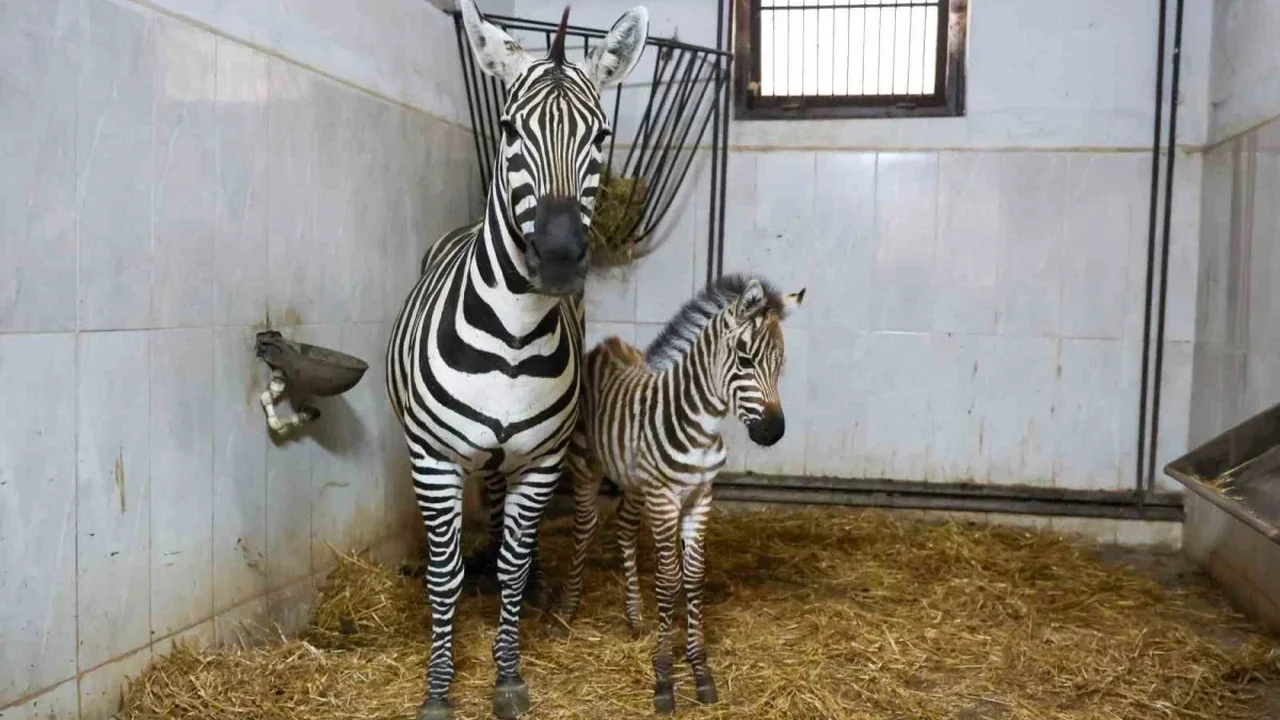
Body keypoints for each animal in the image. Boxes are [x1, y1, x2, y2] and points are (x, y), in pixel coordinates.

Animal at [384, 2, 649, 718]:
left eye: (602, 133)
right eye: (508, 129)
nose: (557, 257)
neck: (512, 339)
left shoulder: (541, 462)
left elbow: (514, 560)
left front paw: (507, 674)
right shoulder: (434, 459)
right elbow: (443, 575)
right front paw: (439, 687)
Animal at [551, 273, 805, 715]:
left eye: (780, 365)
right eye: (745, 361)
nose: (773, 432)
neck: (700, 426)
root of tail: (608, 344)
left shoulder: (700, 497)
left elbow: (694, 576)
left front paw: (700, 670)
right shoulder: (666, 500)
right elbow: (670, 580)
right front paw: (664, 676)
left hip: (636, 483)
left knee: (623, 528)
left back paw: (634, 617)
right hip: (587, 465)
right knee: (584, 528)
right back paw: (568, 609)